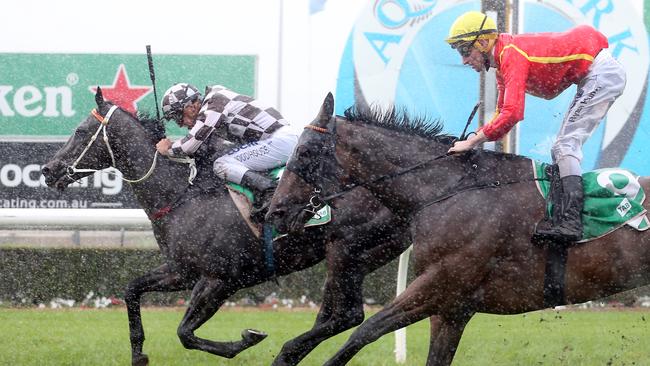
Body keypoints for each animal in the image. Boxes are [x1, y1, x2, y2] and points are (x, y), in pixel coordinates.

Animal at [41, 88, 410, 366]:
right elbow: (132, 289)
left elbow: (185, 333)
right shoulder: (182, 271)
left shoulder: (220, 279)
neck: (182, 194)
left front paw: (248, 338)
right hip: (362, 257)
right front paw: (138, 354)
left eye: (80, 132)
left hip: (344, 251)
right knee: (346, 316)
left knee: (347, 315)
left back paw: (288, 352)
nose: (48, 170)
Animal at [264, 93, 648, 364]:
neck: (446, 190)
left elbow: (366, 330)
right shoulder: (453, 309)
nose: (274, 210)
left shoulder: (441, 283)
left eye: (305, 151)